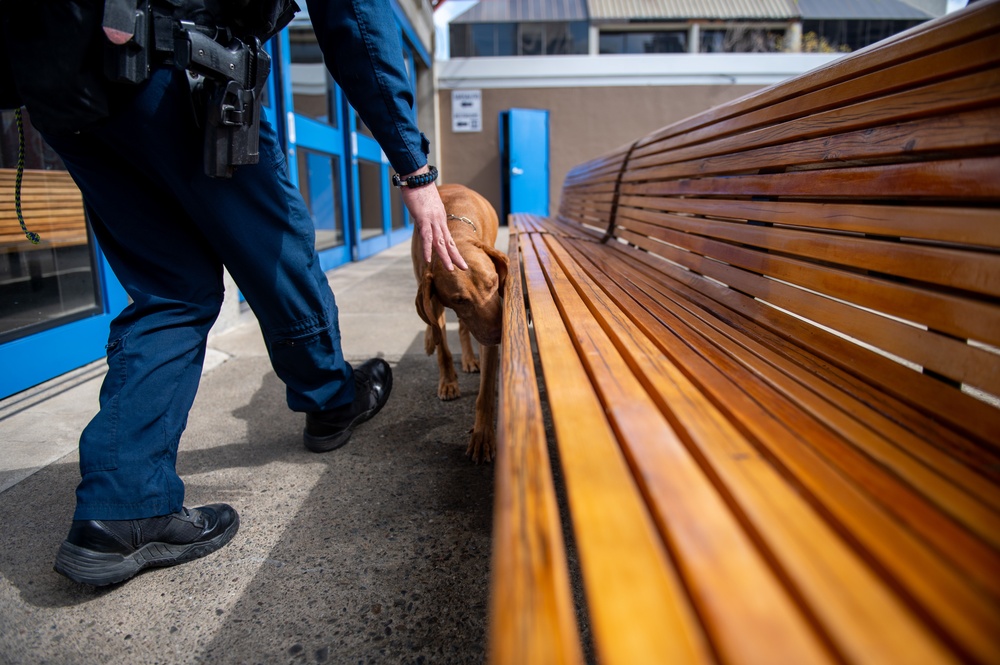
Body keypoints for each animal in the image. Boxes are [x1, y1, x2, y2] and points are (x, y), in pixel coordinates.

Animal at [412, 182, 508, 462]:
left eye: (494, 283)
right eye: (460, 300)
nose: (500, 334)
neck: (454, 232)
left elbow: (485, 390)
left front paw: (483, 436)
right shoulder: (433, 297)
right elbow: (443, 348)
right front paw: (448, 382)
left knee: (464, 329)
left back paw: (468, 358)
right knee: (435, 326)